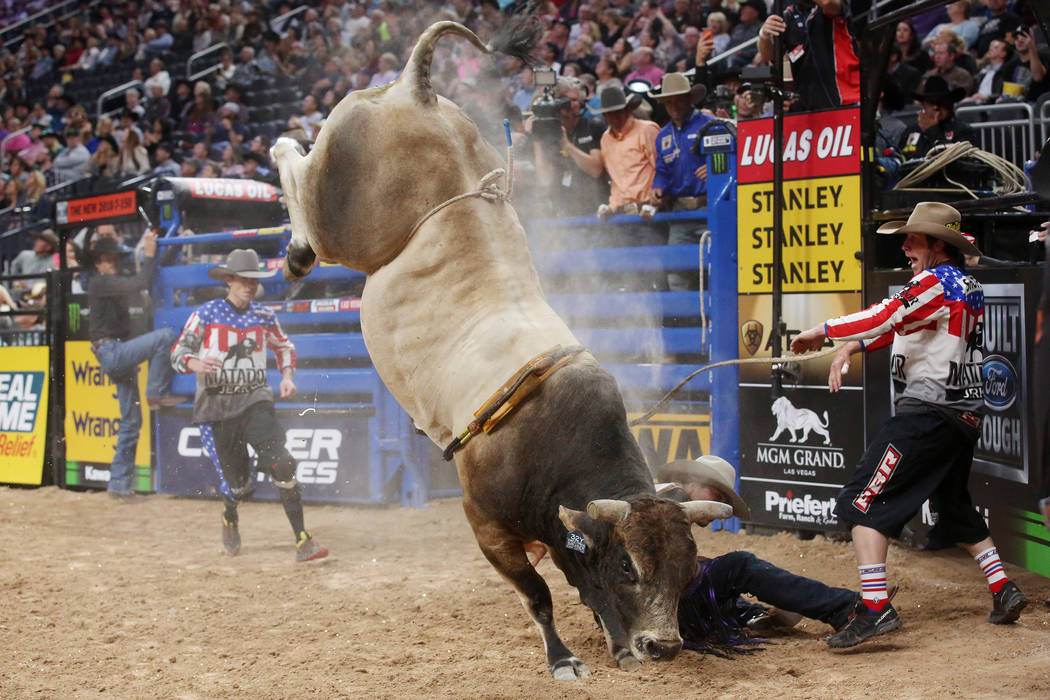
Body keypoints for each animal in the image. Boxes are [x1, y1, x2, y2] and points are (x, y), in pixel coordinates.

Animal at [270, 19, 732, 679]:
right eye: (628, 564)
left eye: (688, 566)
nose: (665, 644)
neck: (554, 444)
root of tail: (418, 91)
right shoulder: (485, 523)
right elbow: (539, 596)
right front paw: (564, 659)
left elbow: (582, 590)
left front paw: (618, 644)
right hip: (338, 207)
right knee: (296, 174)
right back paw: (292, 240)